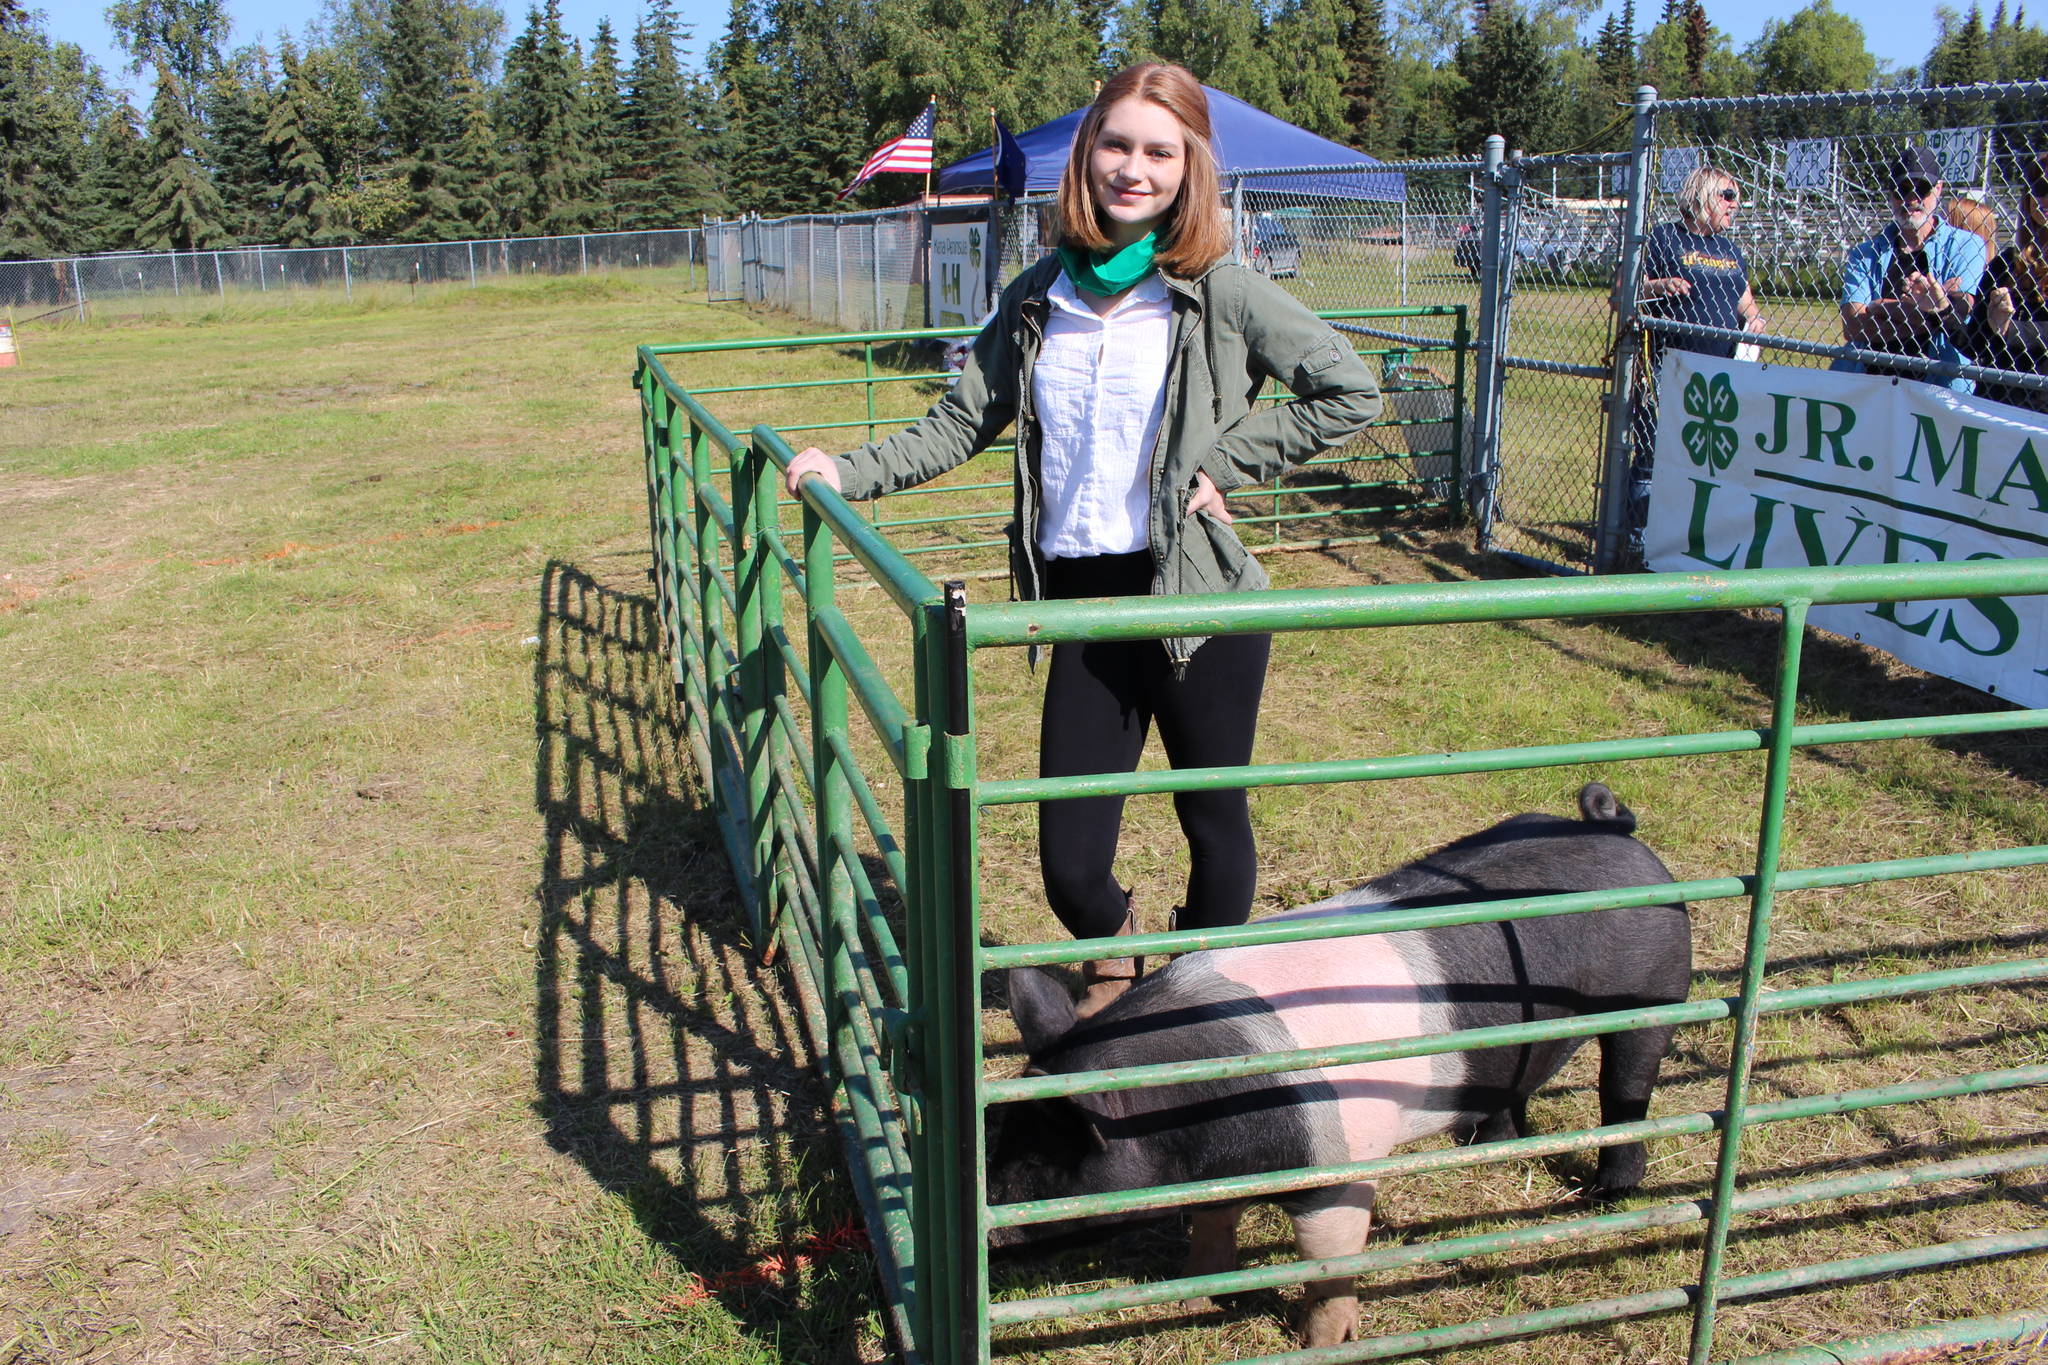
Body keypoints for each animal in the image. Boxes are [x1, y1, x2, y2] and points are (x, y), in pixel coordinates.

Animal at [983, 785, 1687, 1350]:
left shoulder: (1342, 1161)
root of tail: (1619, 833)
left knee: (1626, 1089)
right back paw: (1488, 1146)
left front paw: (1323, 1343)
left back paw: (1606, 1196)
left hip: (1654, 996)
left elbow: (1326, 1263)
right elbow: (1213, 1227)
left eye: (1044, 1160)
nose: (986, 1231)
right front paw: (1197, 1294)